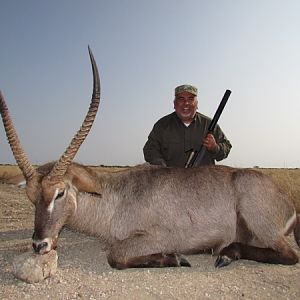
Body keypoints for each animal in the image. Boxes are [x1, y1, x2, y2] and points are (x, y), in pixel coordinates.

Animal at [0, 47, 300, 270]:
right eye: (30, 197)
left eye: (60, 193)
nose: (40, 245)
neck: (115, 196)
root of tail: (287, 202)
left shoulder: (163, 236)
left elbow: (116, 254)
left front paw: (175, 258)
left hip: (263, 225)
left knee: (289, 255)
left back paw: (225, 254)